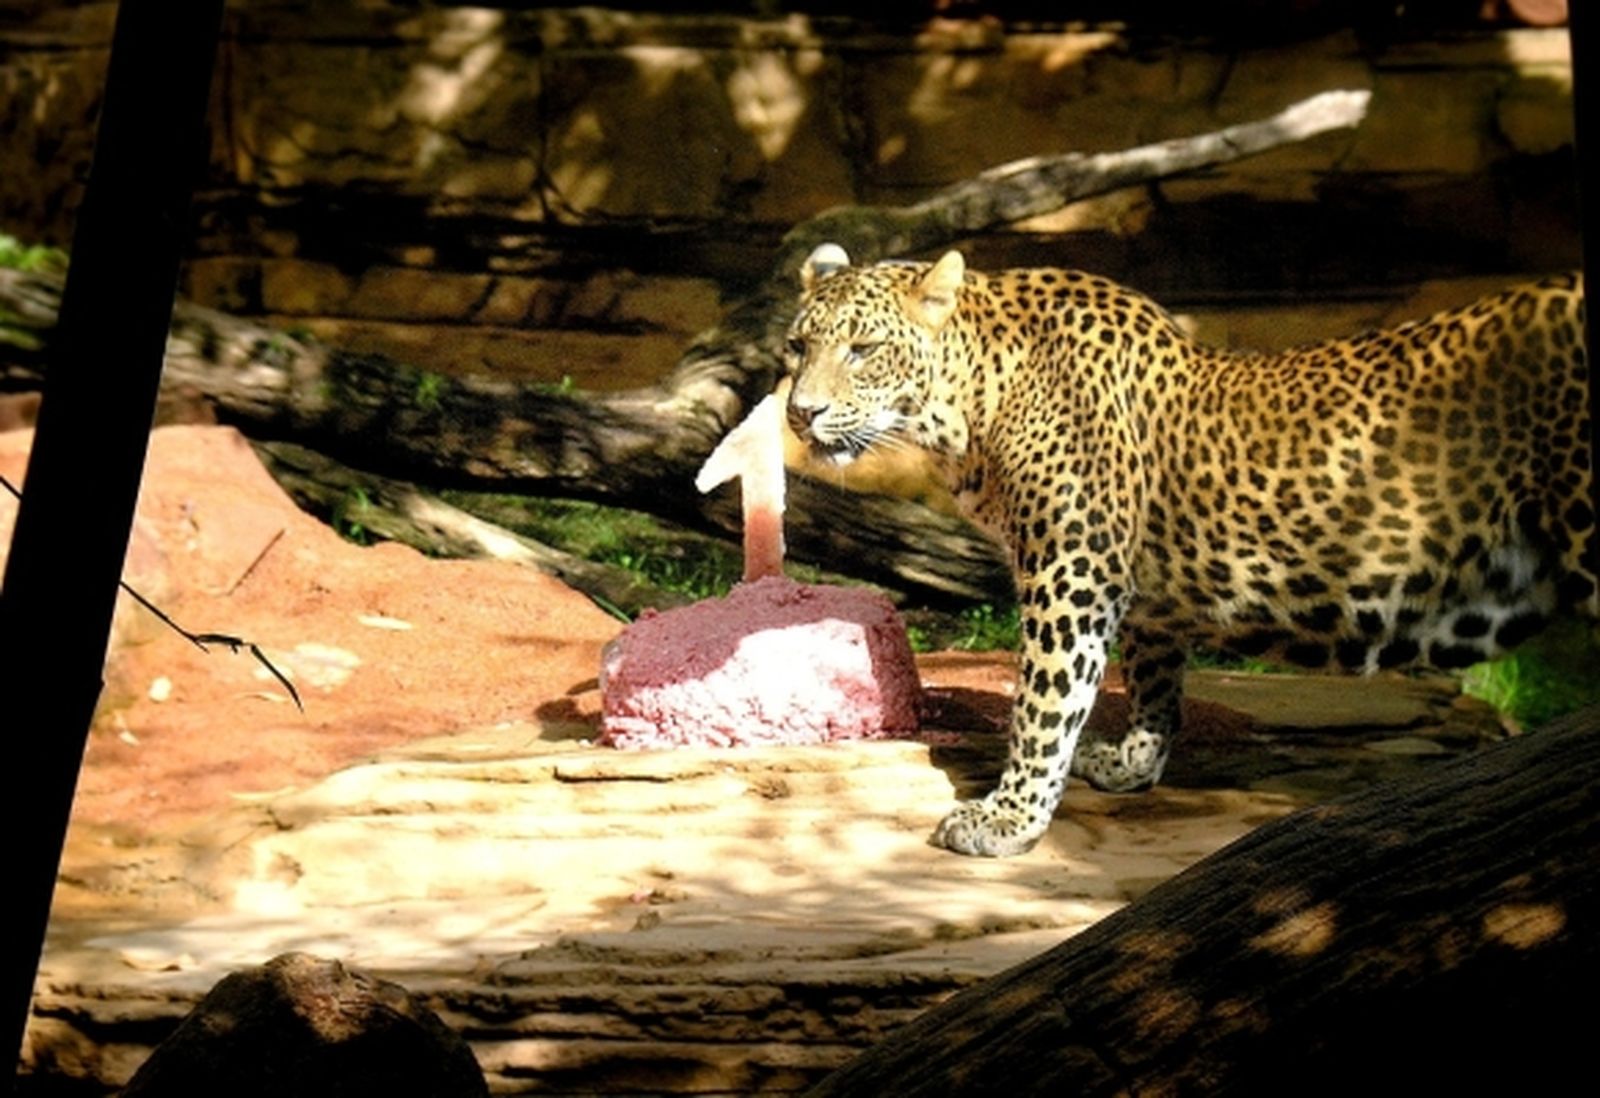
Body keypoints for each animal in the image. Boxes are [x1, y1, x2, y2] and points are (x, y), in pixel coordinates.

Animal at [783, 242, 1594, 858]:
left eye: (864, 350)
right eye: (798, 346)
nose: (800, 413)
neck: (972, 404)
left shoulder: (1070, 571)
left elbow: (1044, 701)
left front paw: (1009, 817)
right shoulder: (1140, 588)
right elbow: (1154, 679)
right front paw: (1132, 764)